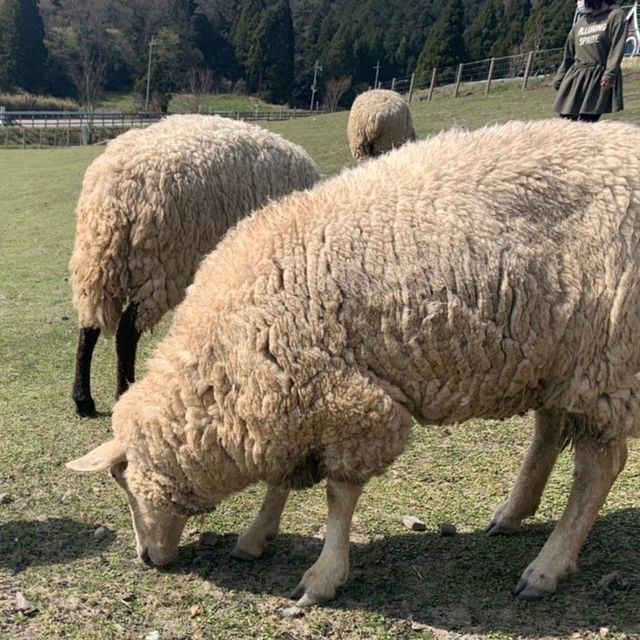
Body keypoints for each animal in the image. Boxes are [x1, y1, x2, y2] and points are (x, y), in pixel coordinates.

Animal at [69, 113, 320, 418]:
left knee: (89, 325)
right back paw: (122, 393)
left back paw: (83, 400)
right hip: (162, 266)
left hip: (97, 260)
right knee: (127, 331)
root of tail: (115, 191)